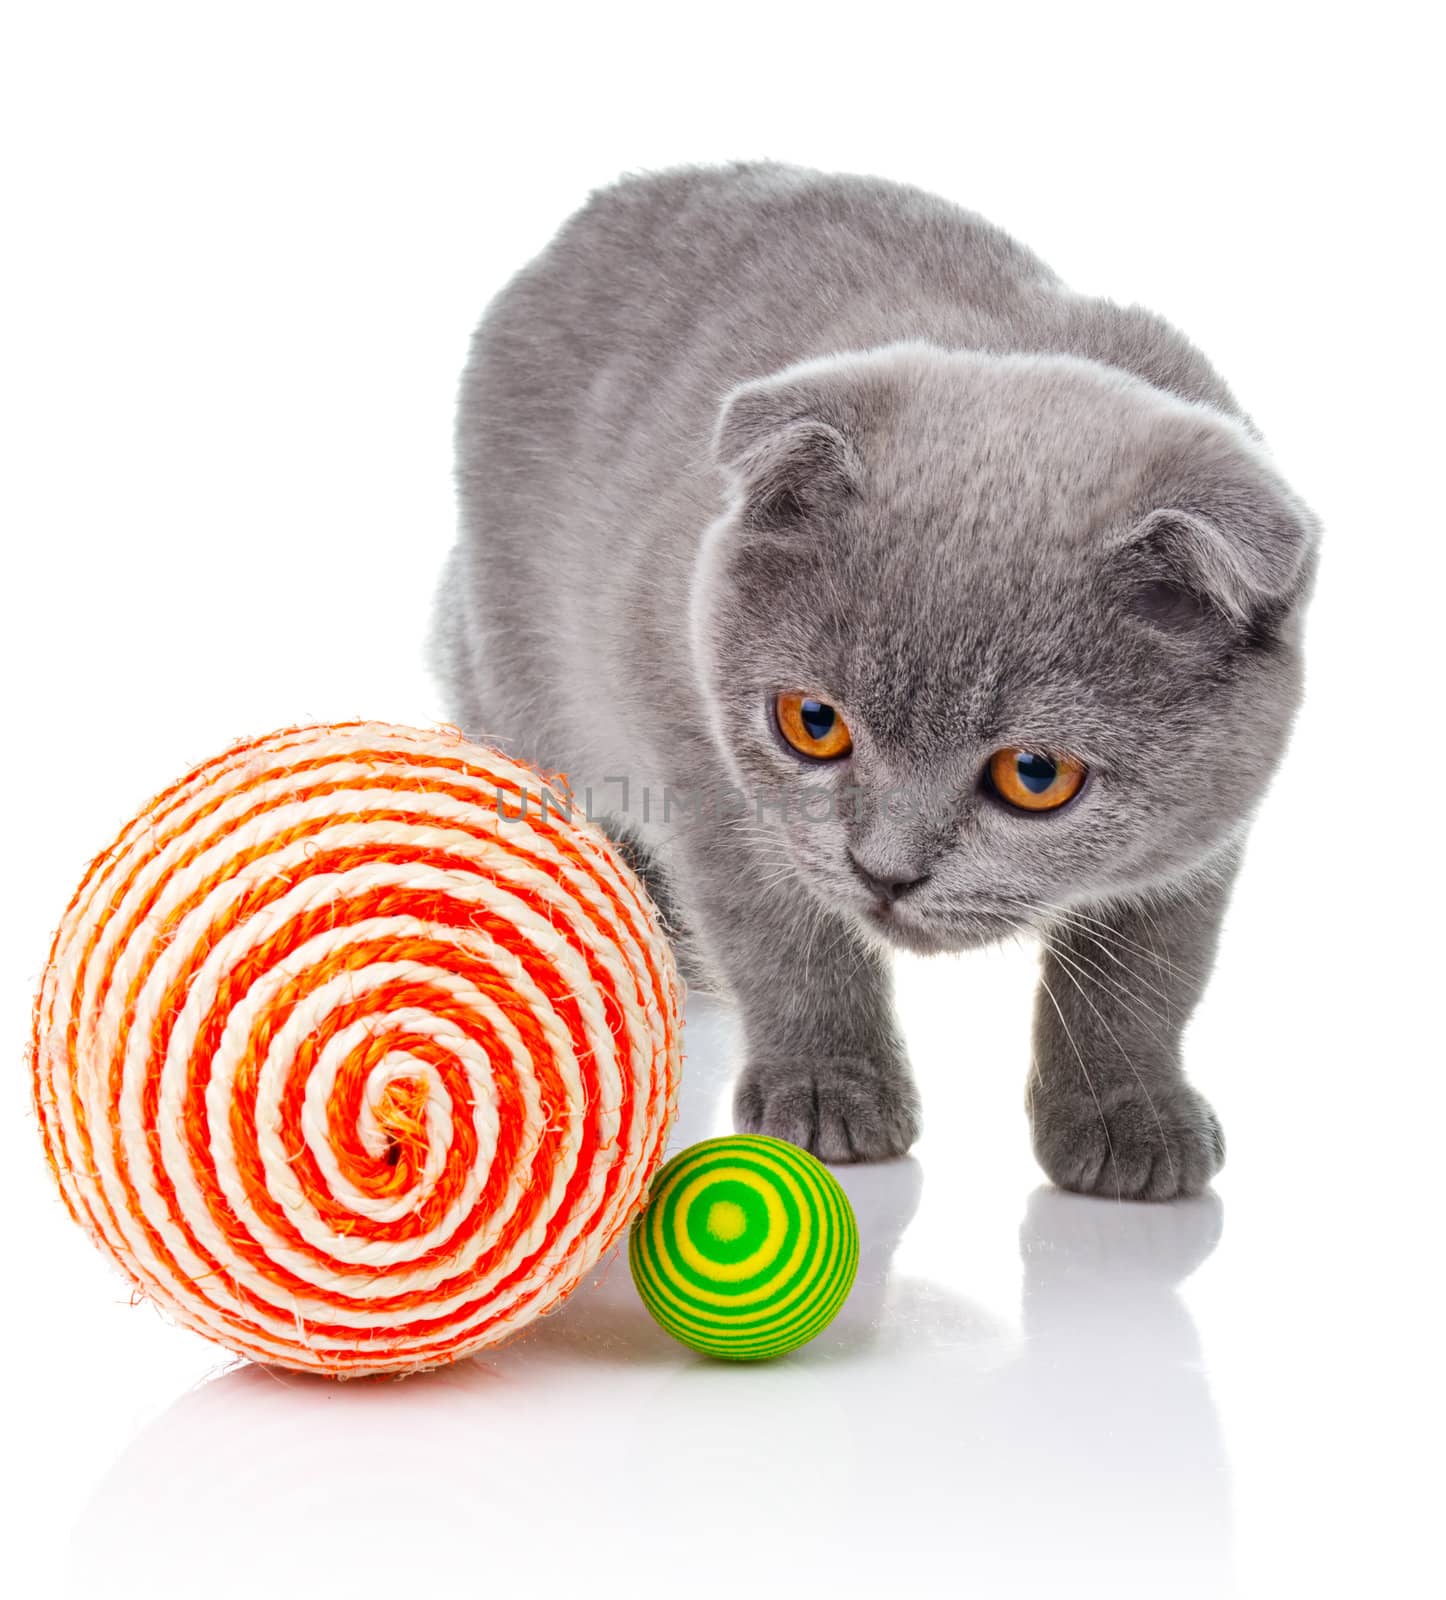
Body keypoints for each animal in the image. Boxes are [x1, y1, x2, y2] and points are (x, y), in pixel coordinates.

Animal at [425, 162, 1311, 1203]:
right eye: (813, 722)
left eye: (1036, 776)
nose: (886, 872)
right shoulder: (697, 748)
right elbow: (784, 936)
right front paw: (826, 1089)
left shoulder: (1205, 829)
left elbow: (1148, 970)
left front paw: (1128, 1112)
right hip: (506, 660)